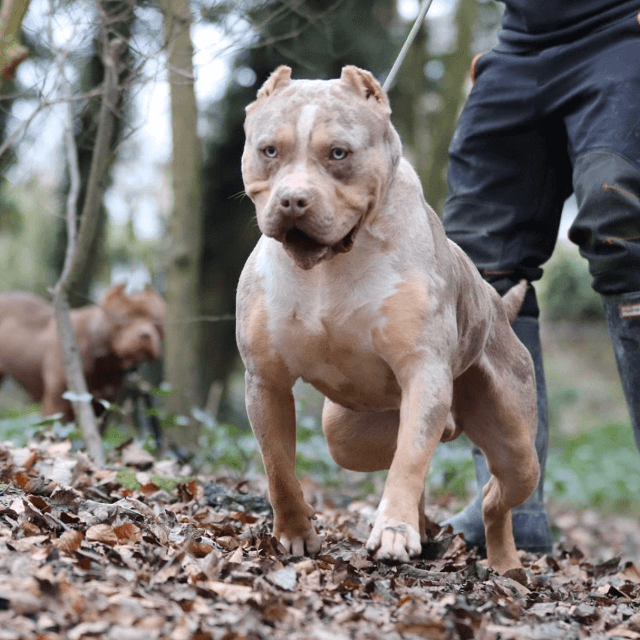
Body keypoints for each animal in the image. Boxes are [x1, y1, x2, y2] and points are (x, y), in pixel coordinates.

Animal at [238, 66, 536, 576]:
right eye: (269, 151)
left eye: (339, 153)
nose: (294, 200)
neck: (331, 265)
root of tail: (497, 306)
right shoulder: (265, 379)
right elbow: (277, 465)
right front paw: (295, 532)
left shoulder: (424, 371)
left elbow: (408, 461)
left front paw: (394, 530)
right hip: (348, 433)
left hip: (516, 447)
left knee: (490, 491)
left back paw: (503, 561)